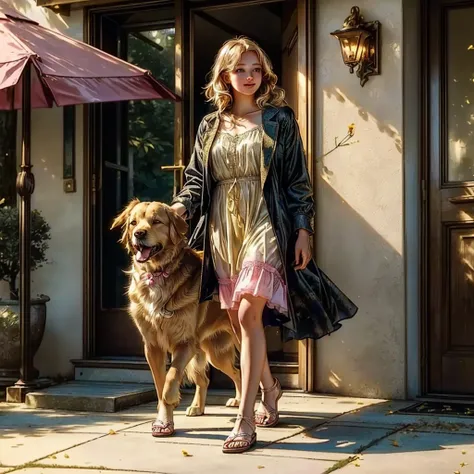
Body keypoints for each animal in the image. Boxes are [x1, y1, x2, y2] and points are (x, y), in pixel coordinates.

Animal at [111, 199, 241, 436]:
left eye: (156, 221)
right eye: (133, 222)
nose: (139, 233)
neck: (157, 273)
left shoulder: (184, 343)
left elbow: (171, 378)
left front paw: (171, 400)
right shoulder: (152, 346)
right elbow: (160, 382)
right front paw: (164, 419)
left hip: (231, 341)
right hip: (212, 351)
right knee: (220, 376)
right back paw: (203, 406)